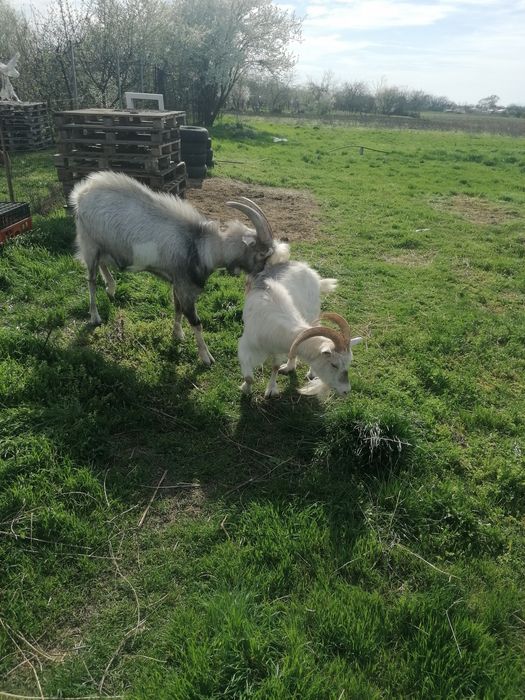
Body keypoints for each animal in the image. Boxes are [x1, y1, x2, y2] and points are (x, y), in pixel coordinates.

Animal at [70, 171, 274, 365]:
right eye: (263, 254)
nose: (265, 281)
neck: (200, 245)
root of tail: (81, 194)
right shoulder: (185, 287)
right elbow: (195, 321)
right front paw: (206, 357)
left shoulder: (177, 281)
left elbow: (177, 309)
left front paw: (177, 334)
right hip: (89, 244)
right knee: (91, 280)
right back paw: (95, 316)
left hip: (102, 245)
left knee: (103, 264)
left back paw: (111, 288)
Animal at [239, 238, 362, 398]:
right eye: (333, 364)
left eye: (348, 363)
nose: (346, 390)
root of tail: (306, 268)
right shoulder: (246, 345)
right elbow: (249, 377)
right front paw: (246, 389)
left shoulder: (279, 349)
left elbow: (275, 366)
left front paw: (271, 389)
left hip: (312, 314)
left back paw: (306, 372)